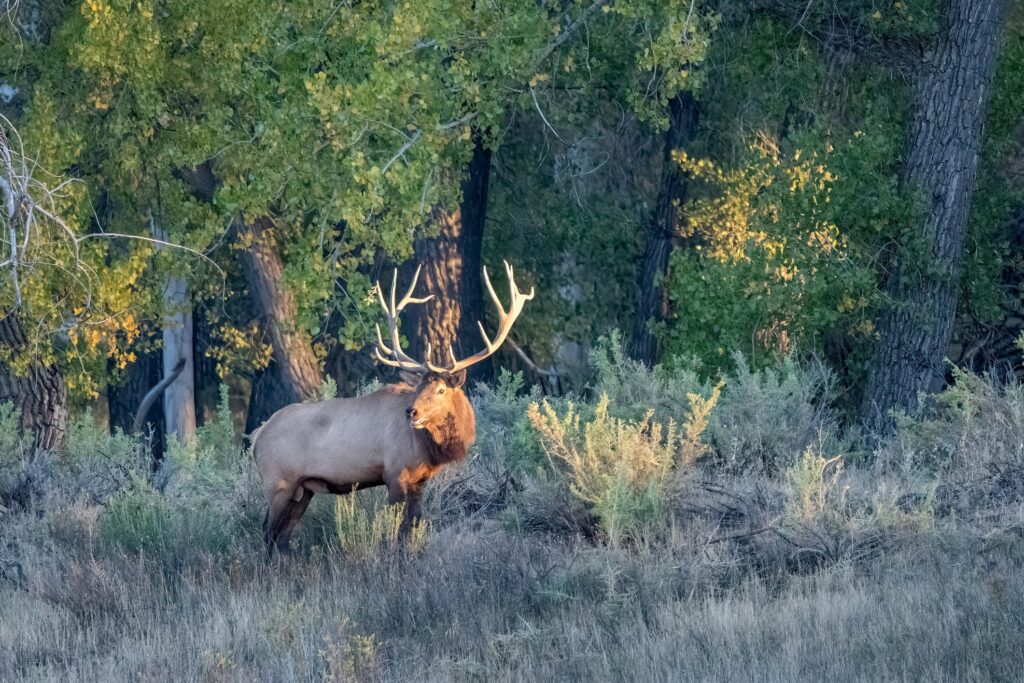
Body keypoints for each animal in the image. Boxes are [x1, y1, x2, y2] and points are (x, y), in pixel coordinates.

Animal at [251, 261, 534, 554]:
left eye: (440, 389)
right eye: (419, 388)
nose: (411, 412)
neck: (426, 448)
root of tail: (257, 436)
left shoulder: (419, 481)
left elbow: (413, 526)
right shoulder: (395, 474)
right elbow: (396, 531)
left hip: (302, 489)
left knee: (282, 538)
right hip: (278, 482)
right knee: (267, 534)